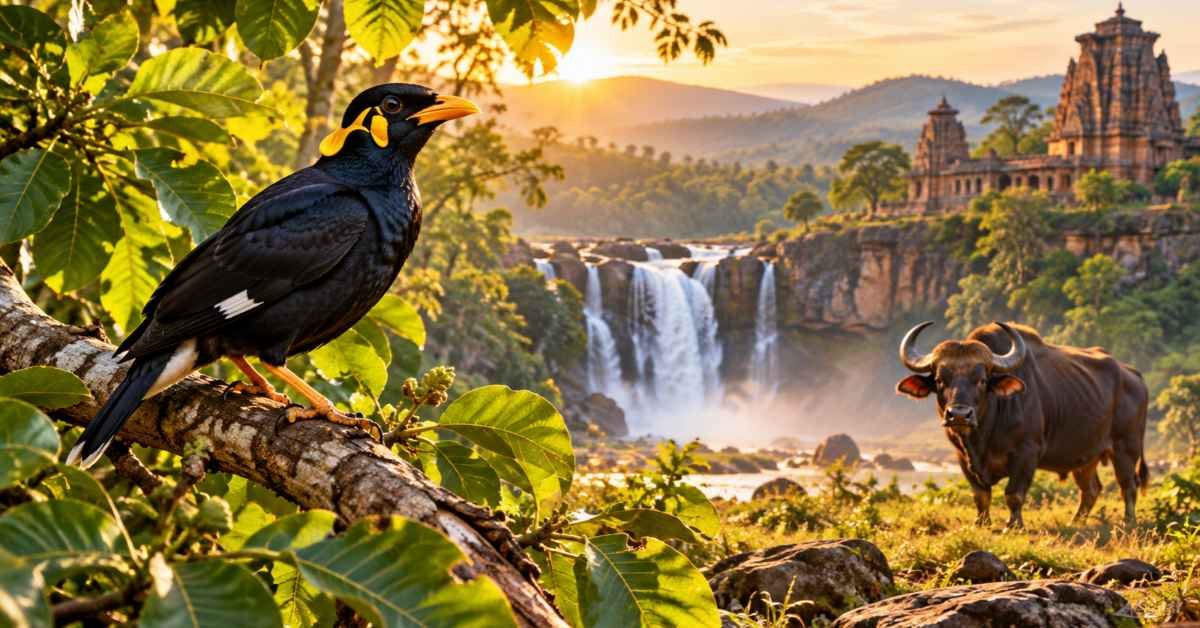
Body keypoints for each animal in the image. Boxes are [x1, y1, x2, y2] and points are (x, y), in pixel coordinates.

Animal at [896, 321, 1149, 527]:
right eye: (940, 380)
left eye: (982, 380)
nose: (958, 415)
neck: (984, 435)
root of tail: (1133, 375)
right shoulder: (961, 456)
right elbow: (980, 495)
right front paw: (981, 523)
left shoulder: (1027, 452)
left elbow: (1014, 494)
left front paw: (1013, 525)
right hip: (1086, 457)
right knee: (1091, 489)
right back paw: (1076, 521)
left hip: (1126, 448)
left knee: (1128, 485)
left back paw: (1128, 522)